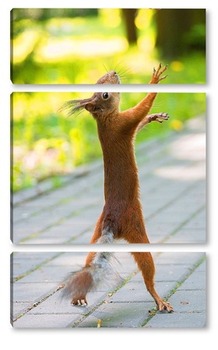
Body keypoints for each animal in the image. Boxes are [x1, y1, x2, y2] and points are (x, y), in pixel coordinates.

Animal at [62, 65, 173, 312]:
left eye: (99, 80)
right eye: (104, 94)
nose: (113, 72)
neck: (105, 119)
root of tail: (112, 221)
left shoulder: (125, 125)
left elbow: (140, 122)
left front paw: (154, 117)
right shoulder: (124, 123)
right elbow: (140, 109)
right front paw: (154, 81)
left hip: (95, 232)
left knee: (89, 259)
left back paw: (79, 296)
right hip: (136, 227)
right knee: (147, 267)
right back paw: (158, 299)